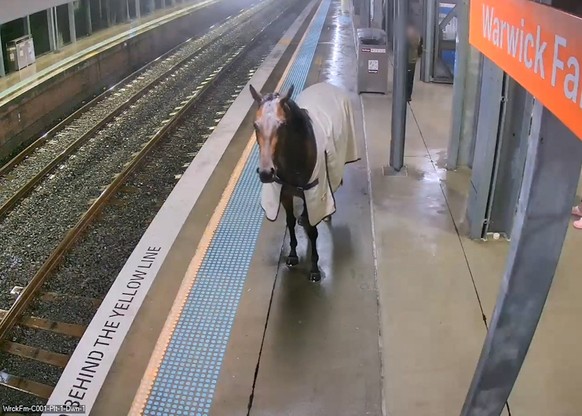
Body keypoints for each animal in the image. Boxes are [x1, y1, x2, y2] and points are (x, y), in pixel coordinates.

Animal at [251, 81, 360, 282]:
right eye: (256, 125)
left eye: (282, 125)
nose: (266, 173)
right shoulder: (286, 194)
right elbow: (290, 222)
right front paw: (293, 255)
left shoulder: (316, 193)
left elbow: (312, 231)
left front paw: (314, 268)